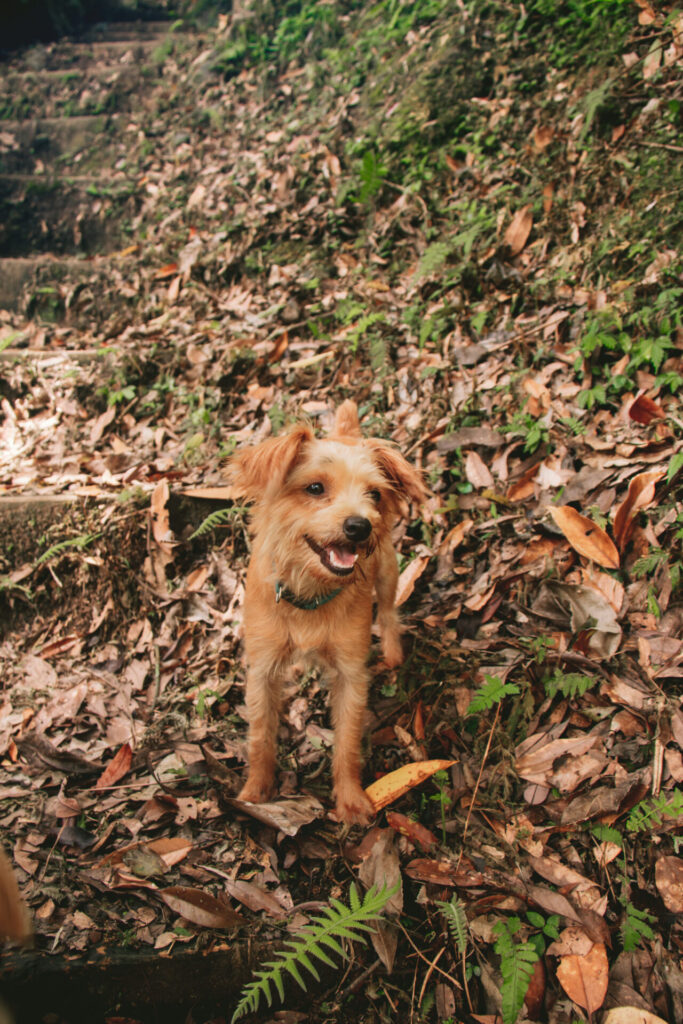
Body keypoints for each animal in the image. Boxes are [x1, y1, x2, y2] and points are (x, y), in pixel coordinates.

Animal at [232, 399, 423, 823]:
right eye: (315, 488)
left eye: (374, 494)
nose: (360, 526)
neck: (310, 596)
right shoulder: (262, 670)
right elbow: (260, 735)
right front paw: (256, 791)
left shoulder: (351, 674)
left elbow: (347, 741)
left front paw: (350, 799)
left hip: (387, 571)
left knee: (388, 612)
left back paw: (393, 654)